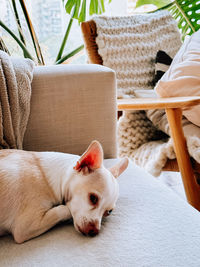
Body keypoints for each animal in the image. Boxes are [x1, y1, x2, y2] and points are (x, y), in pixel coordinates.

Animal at [0, 141, 128, 244]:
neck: (46, 176)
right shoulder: (24, 228)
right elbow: (64, 209)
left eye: (109, 212)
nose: (94, 231)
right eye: (93, 198)